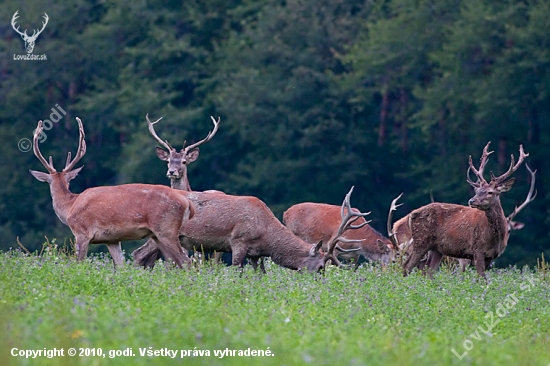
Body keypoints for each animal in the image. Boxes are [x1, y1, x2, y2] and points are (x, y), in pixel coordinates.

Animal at [29, 118, 196, 268]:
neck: (70, 206)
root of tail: (187, 202)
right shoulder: (111, 239)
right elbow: (120, 266)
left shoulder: (82, 233)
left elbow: (78, 263)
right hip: (157, 235)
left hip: (166, 229)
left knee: (185, 261)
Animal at [134, 189, 366, 272]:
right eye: (320, 267)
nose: (321, 282)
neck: (266, 235)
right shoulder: (239, 241)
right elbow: (237, 270)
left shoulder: (256, 253)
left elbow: (260, 273)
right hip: (162, 232)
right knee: (138, 254)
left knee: (143, 256)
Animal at [394, 143, 532, 278]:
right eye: (477, 190)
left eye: (490, 192)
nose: (472, 201)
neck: (495, 237)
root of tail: (412, 214)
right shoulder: (477, 250)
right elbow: (481, 278)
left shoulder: (491, 256)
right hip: (420, 240)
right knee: (407, 266)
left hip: (436, 249)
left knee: (428, 271)